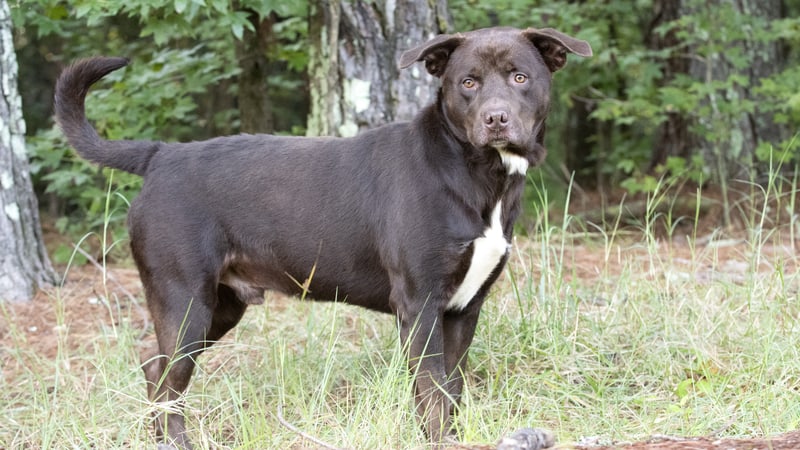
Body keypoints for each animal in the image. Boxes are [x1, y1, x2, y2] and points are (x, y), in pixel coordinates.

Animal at [53, 26, 592, 448]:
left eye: (520, 77)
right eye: (468, 83)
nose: (496, 118)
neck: (477, 174)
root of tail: (160, 155)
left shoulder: (464, 308)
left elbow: (450, 391)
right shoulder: (420, 303)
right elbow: (432, 392)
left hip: (220, 306)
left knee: (155, 370)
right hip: (183, 298)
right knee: (167, 380)